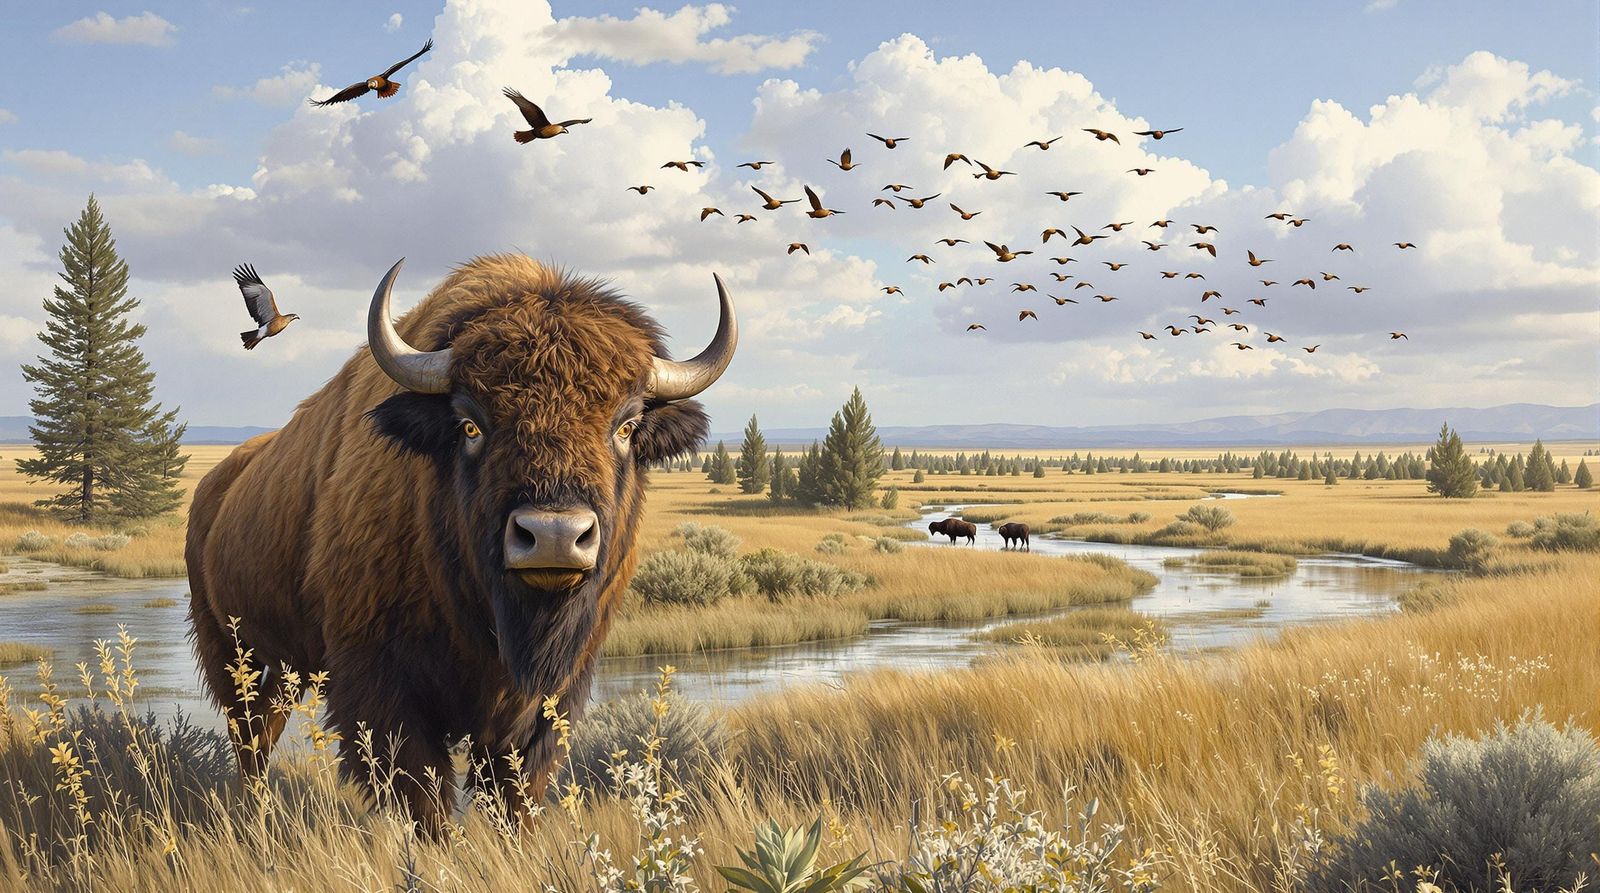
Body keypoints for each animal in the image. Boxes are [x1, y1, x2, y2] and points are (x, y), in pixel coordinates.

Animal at [186, 255, 735, 829]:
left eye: (626, 426)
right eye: (471, 425)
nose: (554, 536)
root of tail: (214, 486)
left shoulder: (548, 701)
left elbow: (514, 793)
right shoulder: (383, 691)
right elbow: (425, 801)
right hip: (233, 653)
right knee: (247, 738)